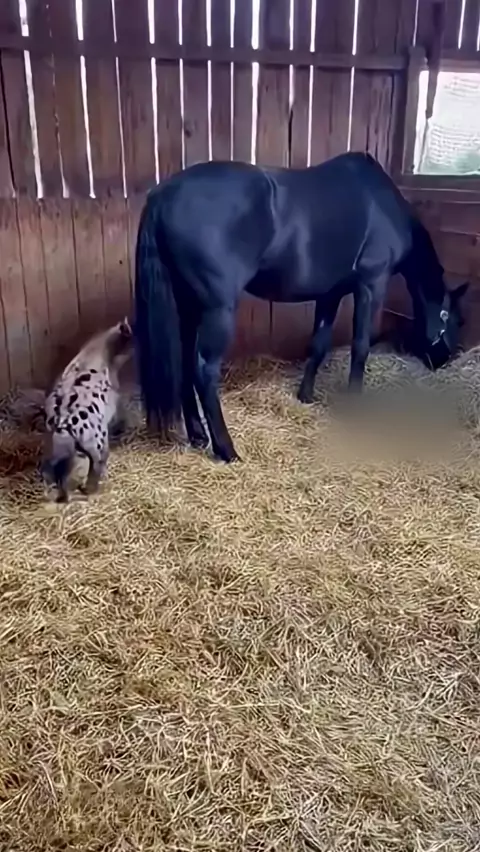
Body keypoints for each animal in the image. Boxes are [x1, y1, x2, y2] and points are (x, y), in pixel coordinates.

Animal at [133, 151, 468, 463]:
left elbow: (318, 344)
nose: (443, 360)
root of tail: (162, 195)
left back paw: (198, 435)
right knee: (204, 370)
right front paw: (354, 407)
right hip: (216, 309)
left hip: (189, 306)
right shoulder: (371, 284)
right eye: (454, 320)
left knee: (185, 363)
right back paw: (227, 450)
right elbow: (361, 345)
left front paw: (306, 396)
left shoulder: (330, 293)